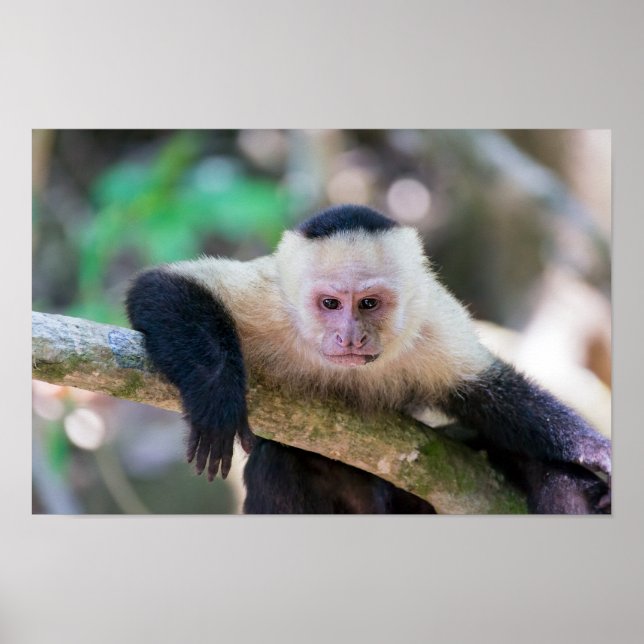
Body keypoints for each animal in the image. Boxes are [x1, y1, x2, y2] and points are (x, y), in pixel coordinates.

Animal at [126, 204, 611, 514]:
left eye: (369, 304)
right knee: (278, 464)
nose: (350, 337)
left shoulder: (430, 322)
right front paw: (217, 396)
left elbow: (489, 395)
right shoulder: (273, 301)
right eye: (331, 304)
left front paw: (593, 450)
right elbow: (160, 287)